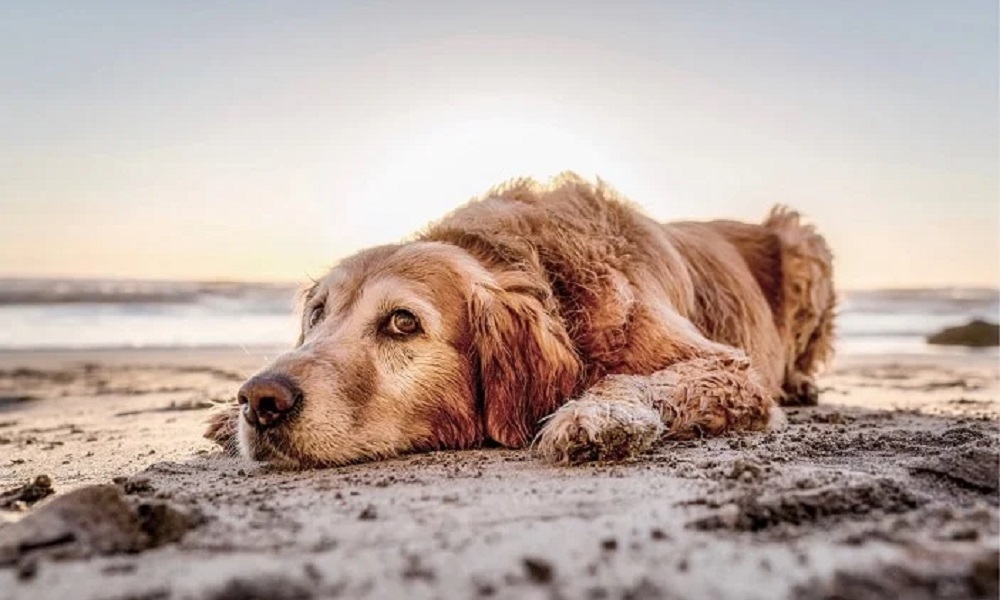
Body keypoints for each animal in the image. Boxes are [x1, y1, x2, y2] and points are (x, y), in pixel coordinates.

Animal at [205, 173, 836, 468]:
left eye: (403, 323)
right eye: (317, 313)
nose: (260, 399)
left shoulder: (731, 370)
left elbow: (638, 380)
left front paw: (595, 416)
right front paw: (220, 418)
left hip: (803, 241)